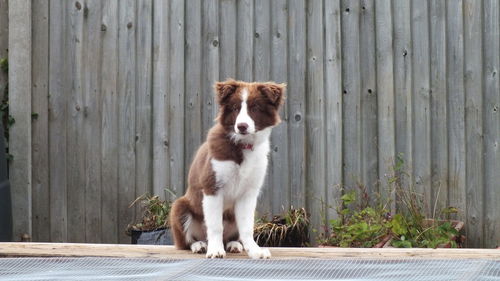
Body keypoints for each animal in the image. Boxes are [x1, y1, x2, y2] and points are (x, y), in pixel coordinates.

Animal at [169, 79, 284, 258]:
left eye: (255, 108)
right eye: (235, 108)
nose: (242, 126)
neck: (242, 145)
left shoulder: (248, 193)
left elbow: (247, 227)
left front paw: (255, 251)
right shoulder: (212, 188)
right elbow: (216, 225)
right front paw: (215, 250)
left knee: (231, 236)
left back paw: (234, 244)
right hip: (180, 208)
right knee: (186, 242)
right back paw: (199, 245)